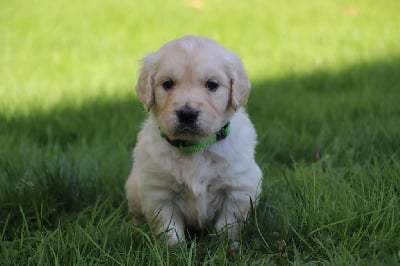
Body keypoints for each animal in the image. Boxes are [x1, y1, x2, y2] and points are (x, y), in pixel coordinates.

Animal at [126, 35, 262, 247]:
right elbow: (169, 228)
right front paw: (174, 250)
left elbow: (228, 225)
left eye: (212, 85)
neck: (195, 148)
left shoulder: (238, 188)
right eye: (167, 84)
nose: (187, 114)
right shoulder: (159, 192)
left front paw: (226, 248)